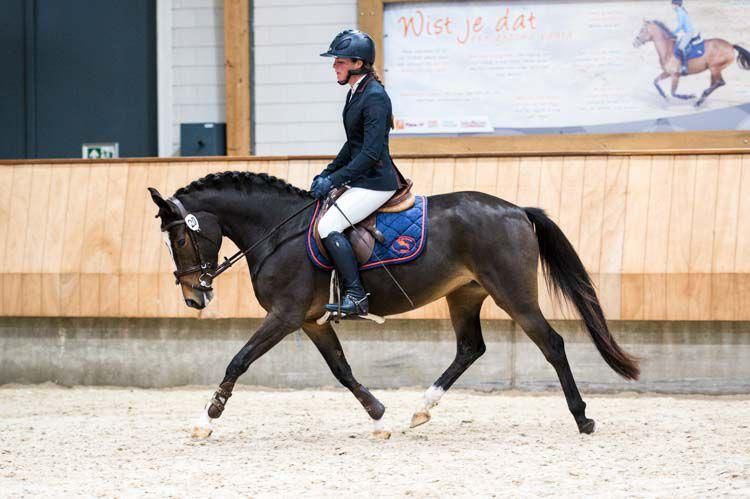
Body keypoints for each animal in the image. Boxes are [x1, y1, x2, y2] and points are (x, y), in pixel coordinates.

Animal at [148, 171, 639, 439]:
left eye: (180, 239)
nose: (194, 296)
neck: (277, 231)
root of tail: (517, 209)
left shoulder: (285, 315)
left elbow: (238, 360)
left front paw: (206, 419)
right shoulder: (311, 320)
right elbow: (342, 370)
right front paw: (379, 417)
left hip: (513, 294)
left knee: (551, 344)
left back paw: (583, 418)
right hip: (464, 293)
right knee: (470, 348)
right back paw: (421, 409)